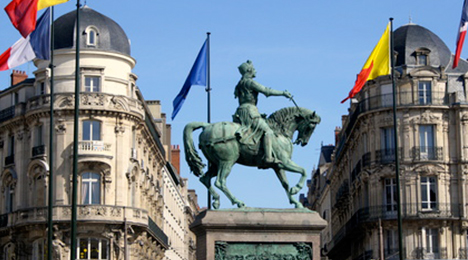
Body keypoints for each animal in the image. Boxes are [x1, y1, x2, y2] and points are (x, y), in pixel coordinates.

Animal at [185, 106, 320, 209]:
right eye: (311, 126)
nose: (304, 142)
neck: (279, 133)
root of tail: (207, 126)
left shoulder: (278, 166)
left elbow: (285, 184)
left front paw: (295, 202)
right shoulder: (285, 162)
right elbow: (303, 171)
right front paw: (296, 188)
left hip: (215, 164)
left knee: (205, 179)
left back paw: (217, 200)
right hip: (227, 161)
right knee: (220, 181)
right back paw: (238, 202)